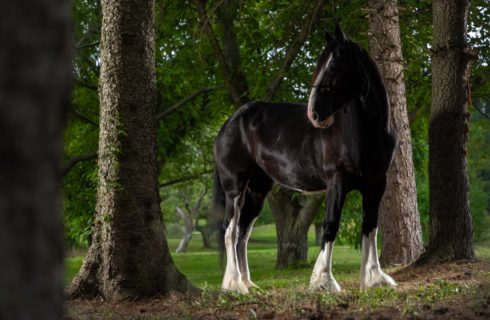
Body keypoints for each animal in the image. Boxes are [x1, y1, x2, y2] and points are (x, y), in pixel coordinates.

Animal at [214, 24, 398, 296]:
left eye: (333, 66)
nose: (314, 114)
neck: (367, 132)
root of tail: (231, 121)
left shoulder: (377, 183)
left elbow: (370, 226)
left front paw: (374, 278)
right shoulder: (337, 181)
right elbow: (331, 225)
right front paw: (324, 280)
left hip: (258, 189)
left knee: (243, 231)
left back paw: (248, 282)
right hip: (235, 187)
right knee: (230, 231)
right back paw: (235, 284)